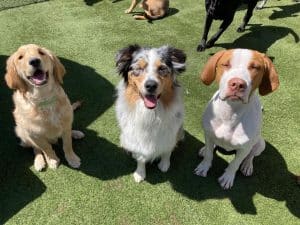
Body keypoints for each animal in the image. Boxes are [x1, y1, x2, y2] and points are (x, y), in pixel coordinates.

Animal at [4, 43, 84, 171]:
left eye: (41, 52)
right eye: (20, 57)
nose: (35, 61)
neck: (44, 98)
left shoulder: (65, 123)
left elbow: (67, 144)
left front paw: (72, 159)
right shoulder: (34, 135)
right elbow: (46, 148)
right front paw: (52, 160)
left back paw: (75, 133)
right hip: (21, 132)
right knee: (36, 149)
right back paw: (39, 162)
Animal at [114, 44, 185, 183]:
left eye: (162, 68)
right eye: (139, 68)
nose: (151, 85)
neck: (150, 113)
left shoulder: (171, 132)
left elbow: (167, 150)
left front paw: (164, 164)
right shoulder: (137, 136)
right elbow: (140, 156)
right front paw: (140, 173)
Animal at [195, 49, 278, 190]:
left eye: (255, 67)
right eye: (225, 64)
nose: (238, 84)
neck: (230, 113)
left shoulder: (244, 148)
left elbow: (235, 163)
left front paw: (227, 178)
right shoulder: (209, 134)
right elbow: (209, 155)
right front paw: (203, 167)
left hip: (260, 143)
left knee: (251, 155)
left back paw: (247, 166)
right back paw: (204, 149)